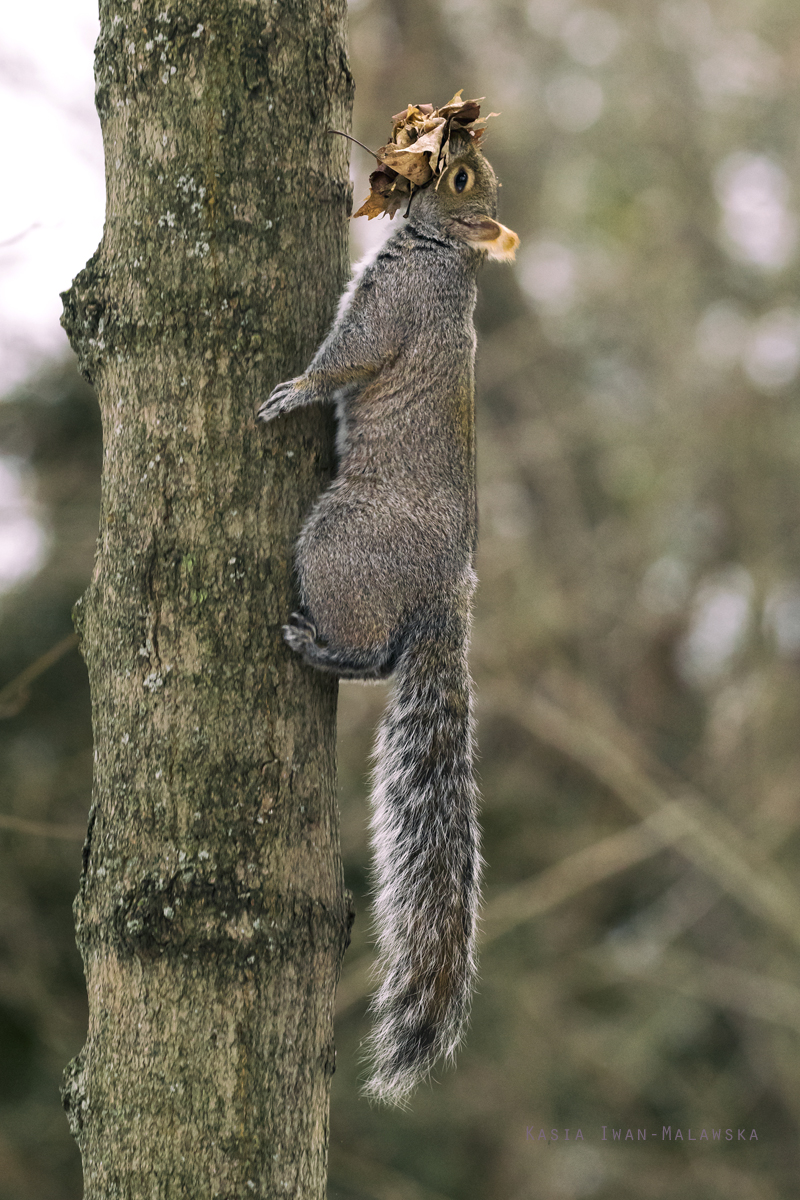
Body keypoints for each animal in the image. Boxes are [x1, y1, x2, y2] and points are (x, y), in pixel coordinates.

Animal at [257, 112, 520, 1104]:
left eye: (463, 177)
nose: (449, 138)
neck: (447, 258)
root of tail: (449, 594)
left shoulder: (387, 314)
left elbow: (349, 357)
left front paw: (294, 390)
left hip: (335, 542)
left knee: (371, 656)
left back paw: (316, 645)